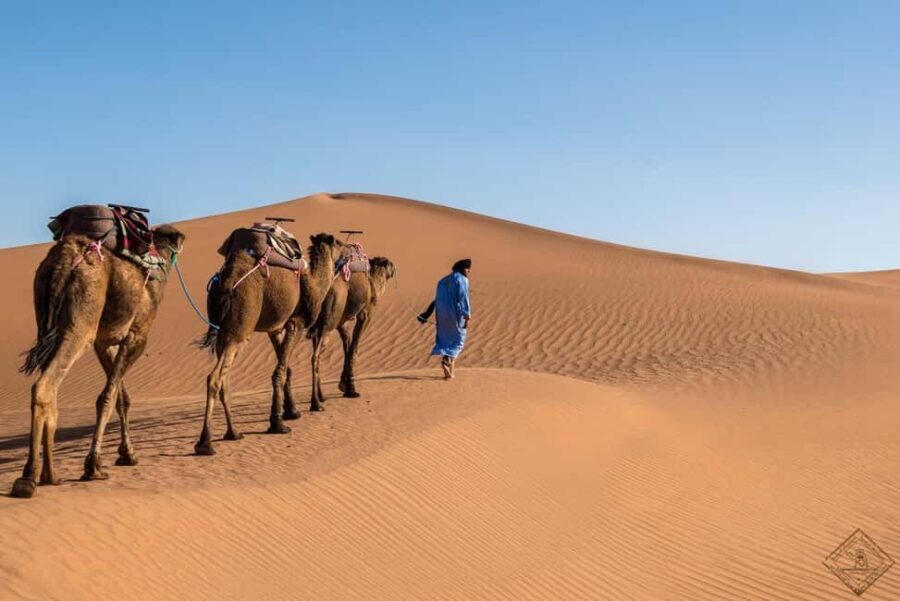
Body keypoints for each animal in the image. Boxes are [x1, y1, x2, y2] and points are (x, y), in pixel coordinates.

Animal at [11, 225, 186, 499]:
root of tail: (64, 258)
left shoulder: (104, 341)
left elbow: (121, 397)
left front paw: (127, 454)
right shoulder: (137, 336)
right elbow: (108, 396)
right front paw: (94, 465)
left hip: (44, 317)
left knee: (51, 389)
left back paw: (50, 475)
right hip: (81, 320)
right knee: (44, 386)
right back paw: (29, 476)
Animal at [195, 233, 343, 455]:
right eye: (340, 244)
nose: (348, 250)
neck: (315, 285)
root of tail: (226, 283)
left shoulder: (275, 328)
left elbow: (285, 367)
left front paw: (292, 411)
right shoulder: (296, 323)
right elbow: (279, 371)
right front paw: (278, 423)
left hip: (225, 331)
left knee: (224, 379)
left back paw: (233, 433)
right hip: (240, 326)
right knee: (214, 378)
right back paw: (205, 443)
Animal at [308, 256, 395, 411]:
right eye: (389, 265)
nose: (394, 269)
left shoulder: (343, 322)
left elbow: (347, 347)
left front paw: (346, 386)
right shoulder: (365, 314)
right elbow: (354, 348)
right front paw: (351, 389)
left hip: (318, 323)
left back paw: (320, 397)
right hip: (328, 321)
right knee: (315, 356)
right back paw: (316, 403)